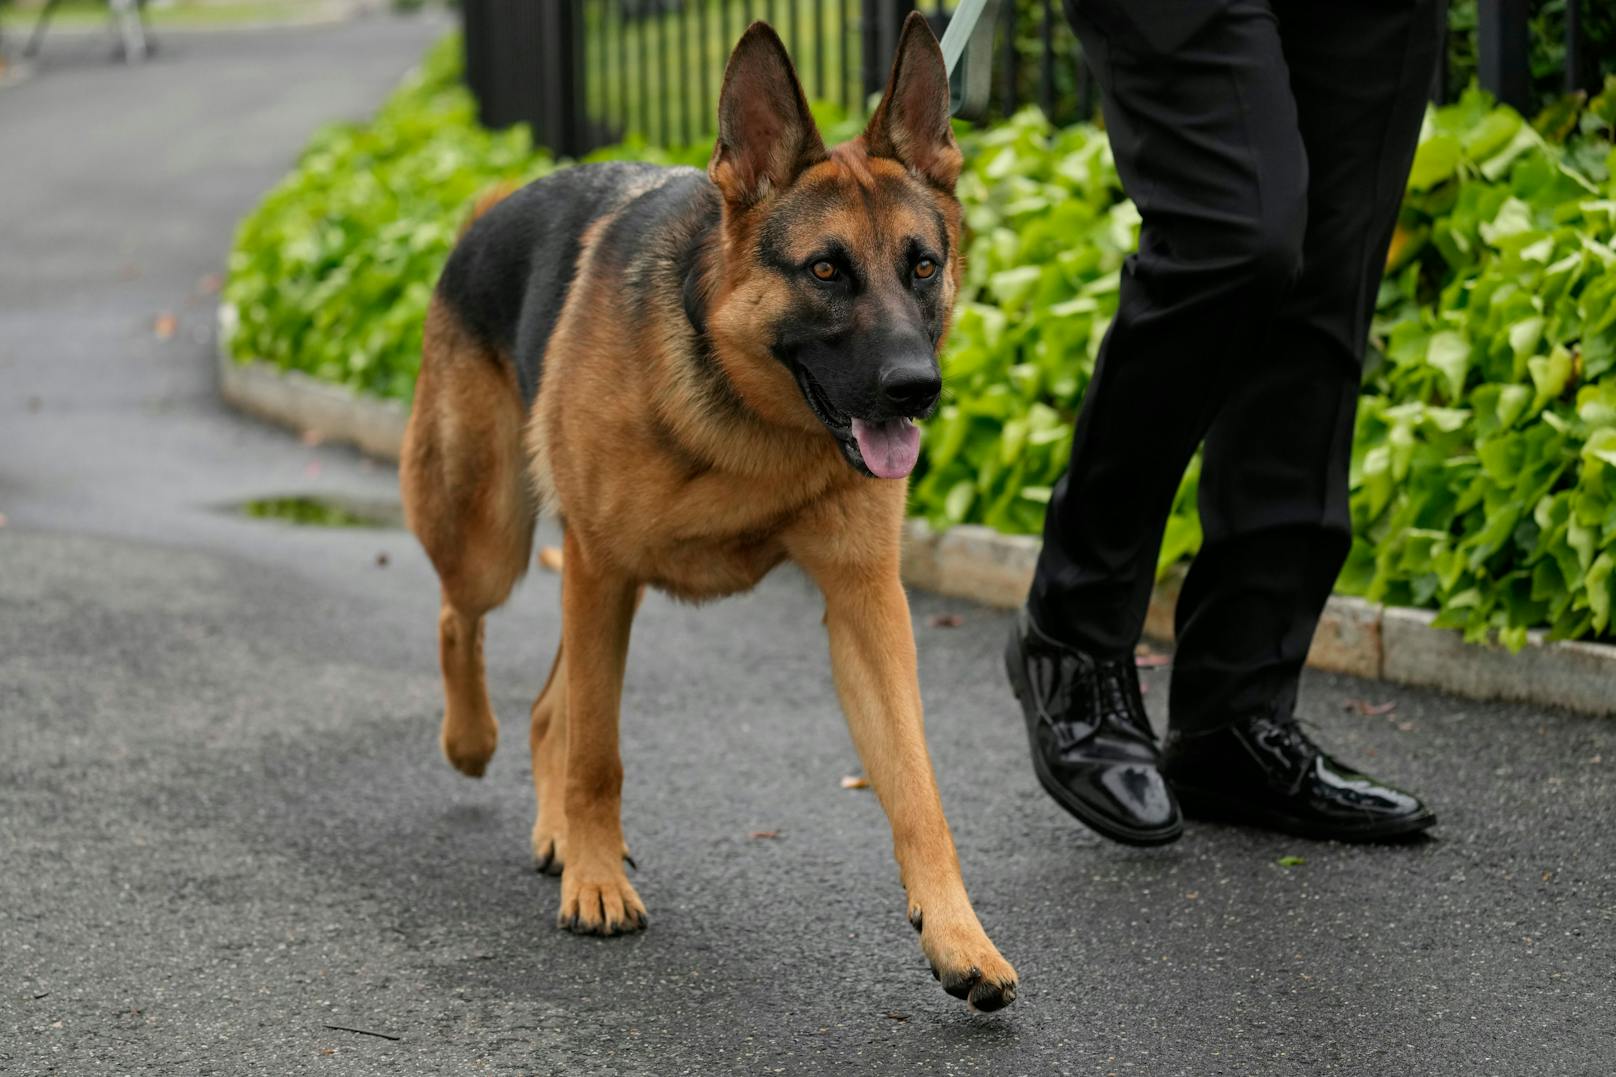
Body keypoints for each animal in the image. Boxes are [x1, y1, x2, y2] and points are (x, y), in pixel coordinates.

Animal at [397, 14, 1014, 1009]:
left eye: (923, 266)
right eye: (827, 270)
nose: (917, 390)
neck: (748, 416)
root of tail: (488, 208)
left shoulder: (866, 603)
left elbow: (919, 789)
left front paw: (960, 935)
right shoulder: (601, 568)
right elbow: (599, 753)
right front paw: (597, 884)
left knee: (549, 705)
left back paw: (554, 827)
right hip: (496, 536)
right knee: (464, 619)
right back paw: (472, 742)